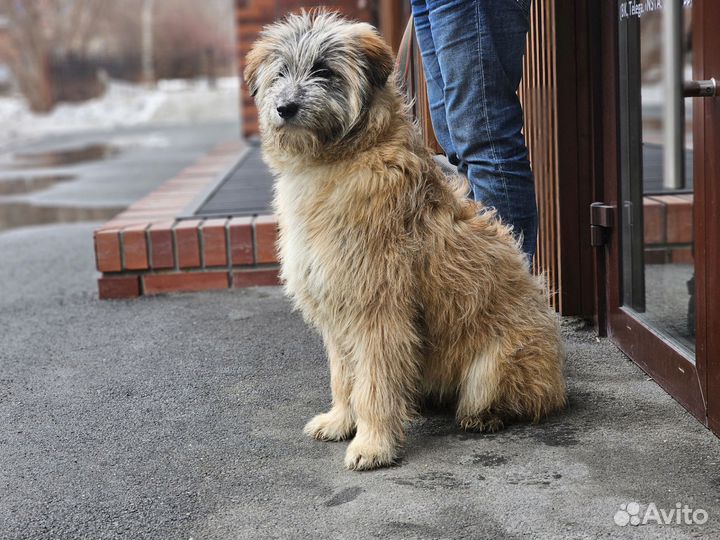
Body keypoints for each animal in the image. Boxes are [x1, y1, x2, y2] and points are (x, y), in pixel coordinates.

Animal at [245, 10, 564, 470]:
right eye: (281, 71)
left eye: (323, 70)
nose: (285, 108)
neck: (344, 156)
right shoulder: (337, 305)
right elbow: (344, 376)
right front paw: (341, 421)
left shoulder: (378, 309)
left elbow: (374, 382)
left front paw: (373, 443)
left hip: (498, 360)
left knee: (519, 398)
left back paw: (484, 416)